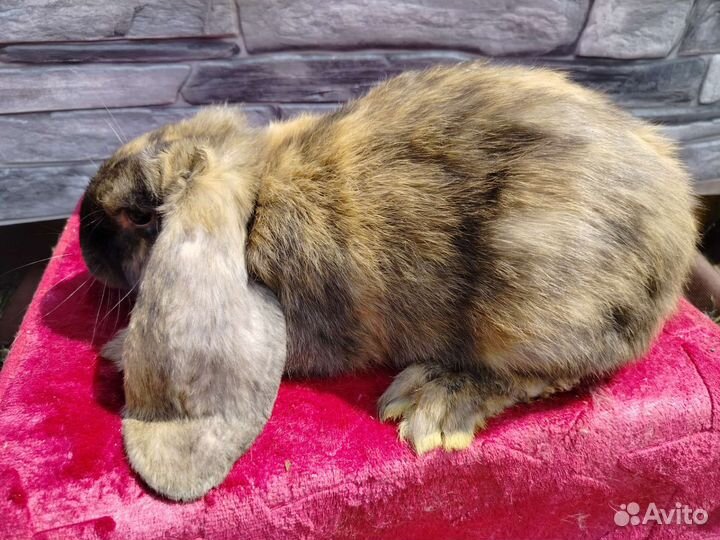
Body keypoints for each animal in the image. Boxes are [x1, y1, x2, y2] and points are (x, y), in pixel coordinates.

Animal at [80, 61, 697, 501]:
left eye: (139, 217)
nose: (84, 245)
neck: (259, 189)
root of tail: (678, 223)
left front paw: (117, 347)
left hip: (535, 311)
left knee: (549, 374)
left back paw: (434, 401)